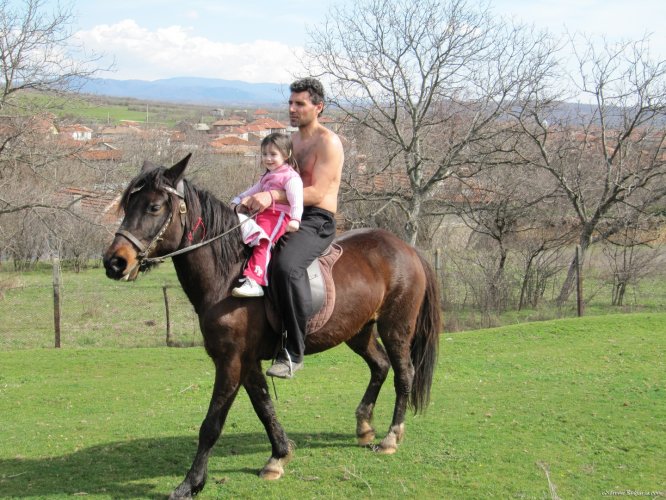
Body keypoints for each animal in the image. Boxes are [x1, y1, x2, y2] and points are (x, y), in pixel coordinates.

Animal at [103, 154, 441, 499]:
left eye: (154, 207)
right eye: (127, 205)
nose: (114, 262)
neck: (229, 274)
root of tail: (407, 249)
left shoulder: (230, 360)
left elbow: (212, 424)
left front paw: (190, 483)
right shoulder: (247, 360)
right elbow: (263, 405)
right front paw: (279, 456)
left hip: (395, 327)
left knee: (404, 373)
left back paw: (391, 436)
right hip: (358, 331)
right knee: (380, 366)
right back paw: (364, 426)